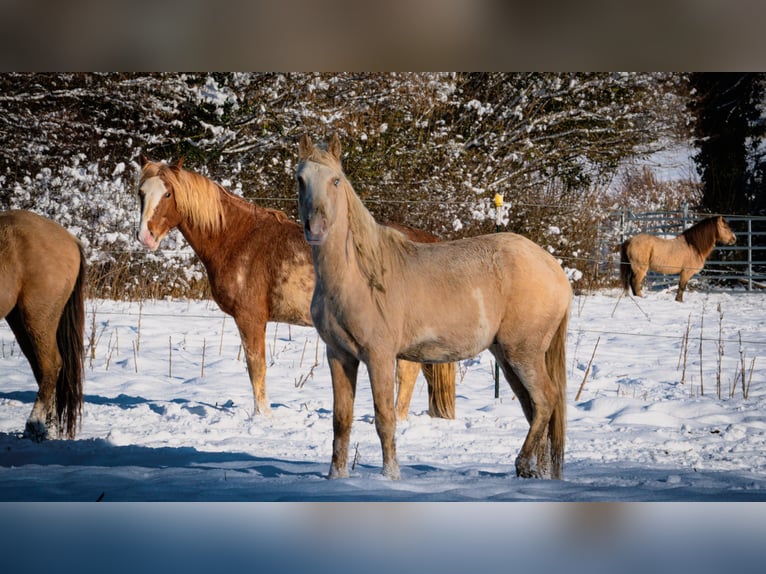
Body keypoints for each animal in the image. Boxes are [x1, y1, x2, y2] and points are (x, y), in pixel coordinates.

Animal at [0, 210, 85, 441]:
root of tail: (70, 239)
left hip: (37, 317)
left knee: (51, 365)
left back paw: (34, 424)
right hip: (20, 321)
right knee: (42, 369)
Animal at [137, 155, 455, 420]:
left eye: (168, 193)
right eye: (141, 192)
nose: (144, 237)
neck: (239, 238)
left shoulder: (250, 318)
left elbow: (256, 368)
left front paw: (263, 416)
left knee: (407, 373)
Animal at [297, 134, 572, 480]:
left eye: (335, 181)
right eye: (301, 179)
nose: (315, 228)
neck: (358, 275)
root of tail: (553, 268)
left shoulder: (379, 356)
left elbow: (385, 419)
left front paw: (391, 477)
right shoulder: (339, 356)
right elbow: (341, 421)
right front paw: (336, 478)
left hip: (524, 353)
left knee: (545, 401)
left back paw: (523, 464)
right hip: (507, 357)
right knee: (534, 407)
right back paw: (536, 472)